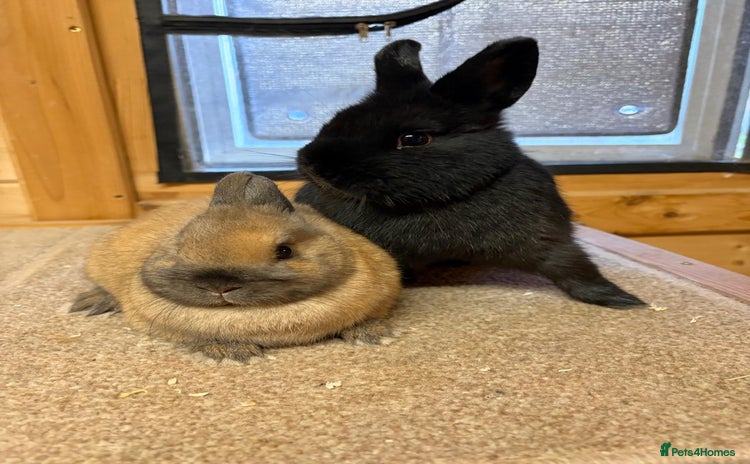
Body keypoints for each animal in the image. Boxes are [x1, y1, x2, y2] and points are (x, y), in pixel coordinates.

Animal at [70, 172, 401, 361]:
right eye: (181, 245)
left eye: (285, 251)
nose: (220, 286)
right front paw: (232, 353)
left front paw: (374, 334)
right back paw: (90, 303)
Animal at [295, 37, 645, 309]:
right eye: (336, 120)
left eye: (413, 138)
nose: (311, 163)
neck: (432, 204)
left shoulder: (551, 239)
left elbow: (575, 269)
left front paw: (623, 301)